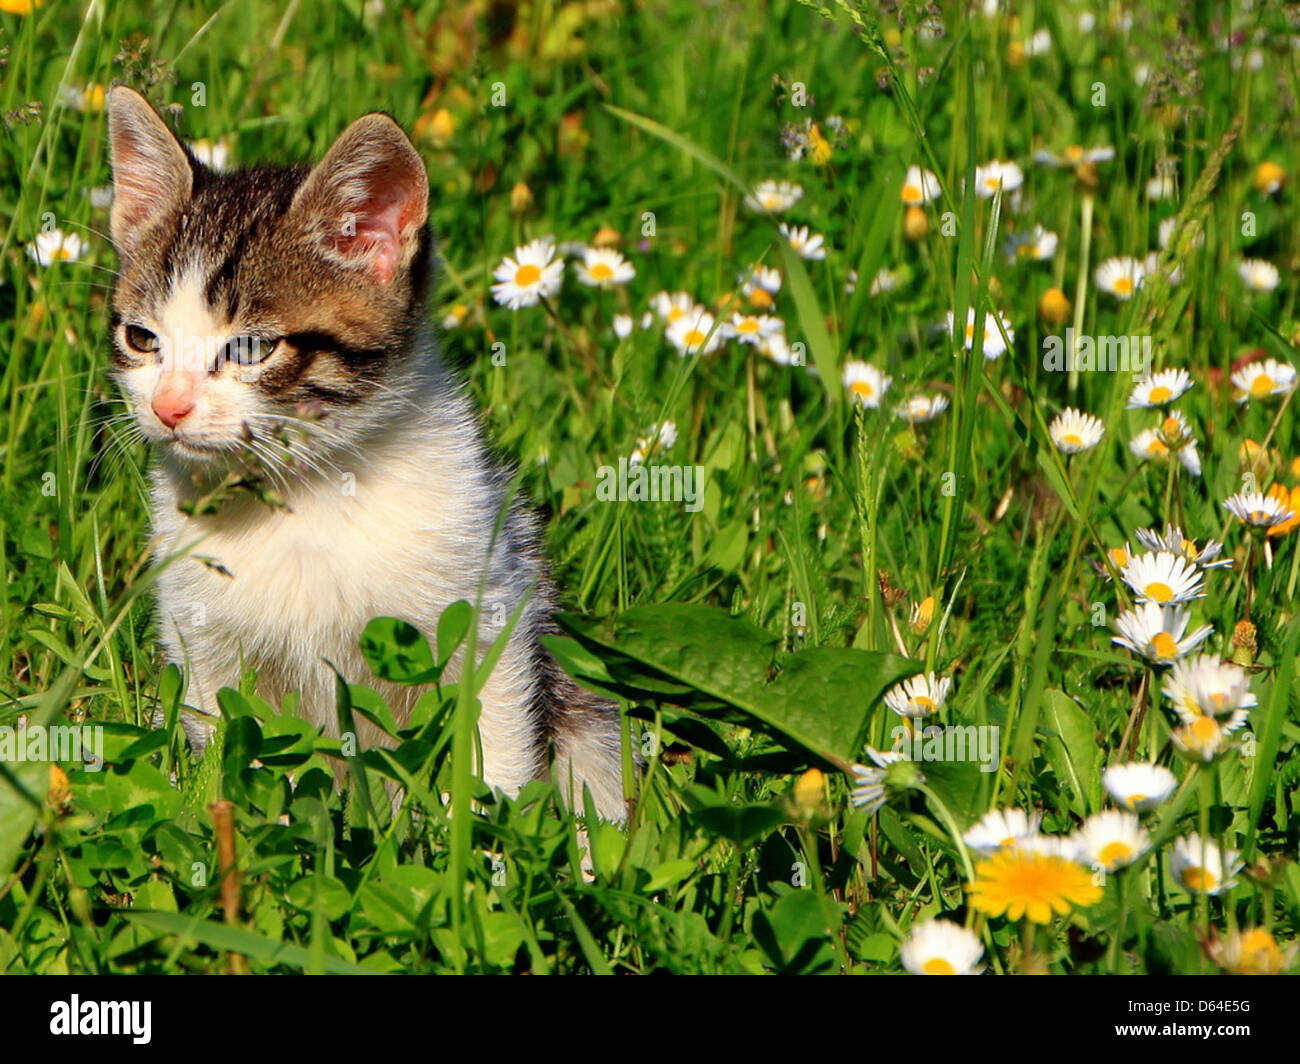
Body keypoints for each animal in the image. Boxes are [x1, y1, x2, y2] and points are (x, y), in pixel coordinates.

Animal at [105, 89, 624, 822]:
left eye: (250, 349)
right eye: (142, 338)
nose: (168, 407)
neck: (304, 496)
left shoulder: (489, 603)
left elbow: (494, 736)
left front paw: (492, 835)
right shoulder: (203, 640)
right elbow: (230, 747)